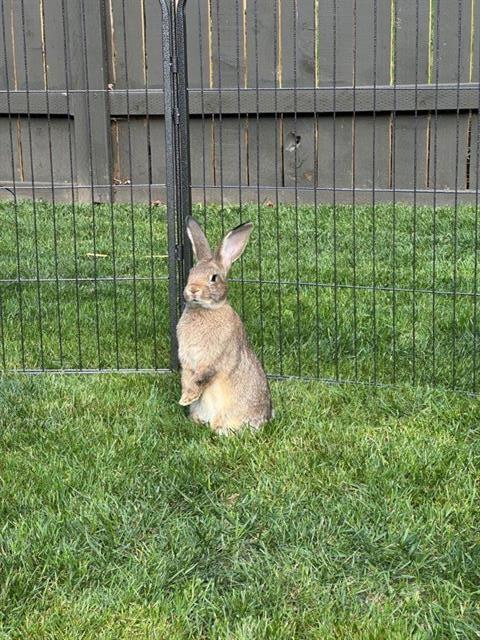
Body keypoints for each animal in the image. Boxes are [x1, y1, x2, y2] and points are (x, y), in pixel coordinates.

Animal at [177, 216, 272, 435]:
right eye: (191, 272)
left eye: (214, 278)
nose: (193, 290)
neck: (206, 309)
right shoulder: (186, 359)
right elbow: (187, 376)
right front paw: (185, 398)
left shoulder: (214, 358)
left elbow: (201, 377)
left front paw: (186, 398)